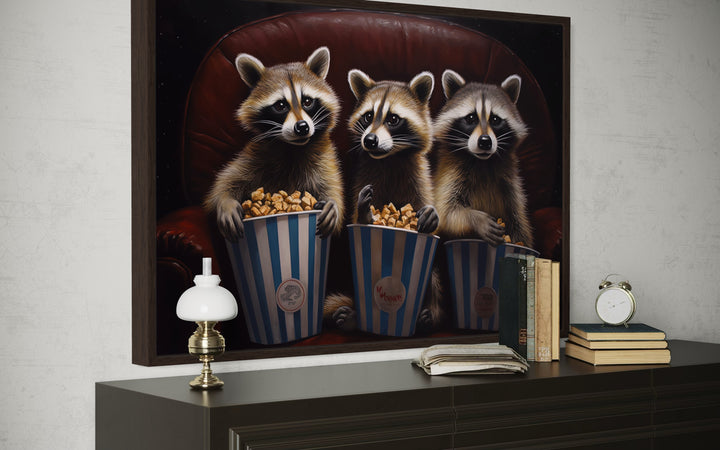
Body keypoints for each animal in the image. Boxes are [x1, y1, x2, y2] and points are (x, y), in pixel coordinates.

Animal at [204, 46, 344, 240]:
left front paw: (332, 203)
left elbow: (331, 186)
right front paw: (225, 202)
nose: (302, 127)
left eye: (307, 101)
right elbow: (224, 182)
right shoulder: (255, 155)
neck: (292, 147)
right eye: (280, 105)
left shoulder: (323, 159)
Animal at [324, 69, 442, 331]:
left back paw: (430, 315)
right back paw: (355, 317)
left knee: (433, 278)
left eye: (393, 119)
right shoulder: (363, 177)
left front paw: (432, 217)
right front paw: (365, 213)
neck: (390, 158)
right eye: (369, 116)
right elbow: (357, 216)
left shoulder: (419, 179)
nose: (369, 140)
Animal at [433, 70, 533, 247]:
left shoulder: (511, 188)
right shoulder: (450, 175)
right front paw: (475, 219)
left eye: (495, 119)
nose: (485, 141)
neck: (483, 162)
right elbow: (446, 213)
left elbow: (520, 223)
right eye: (471, 118)